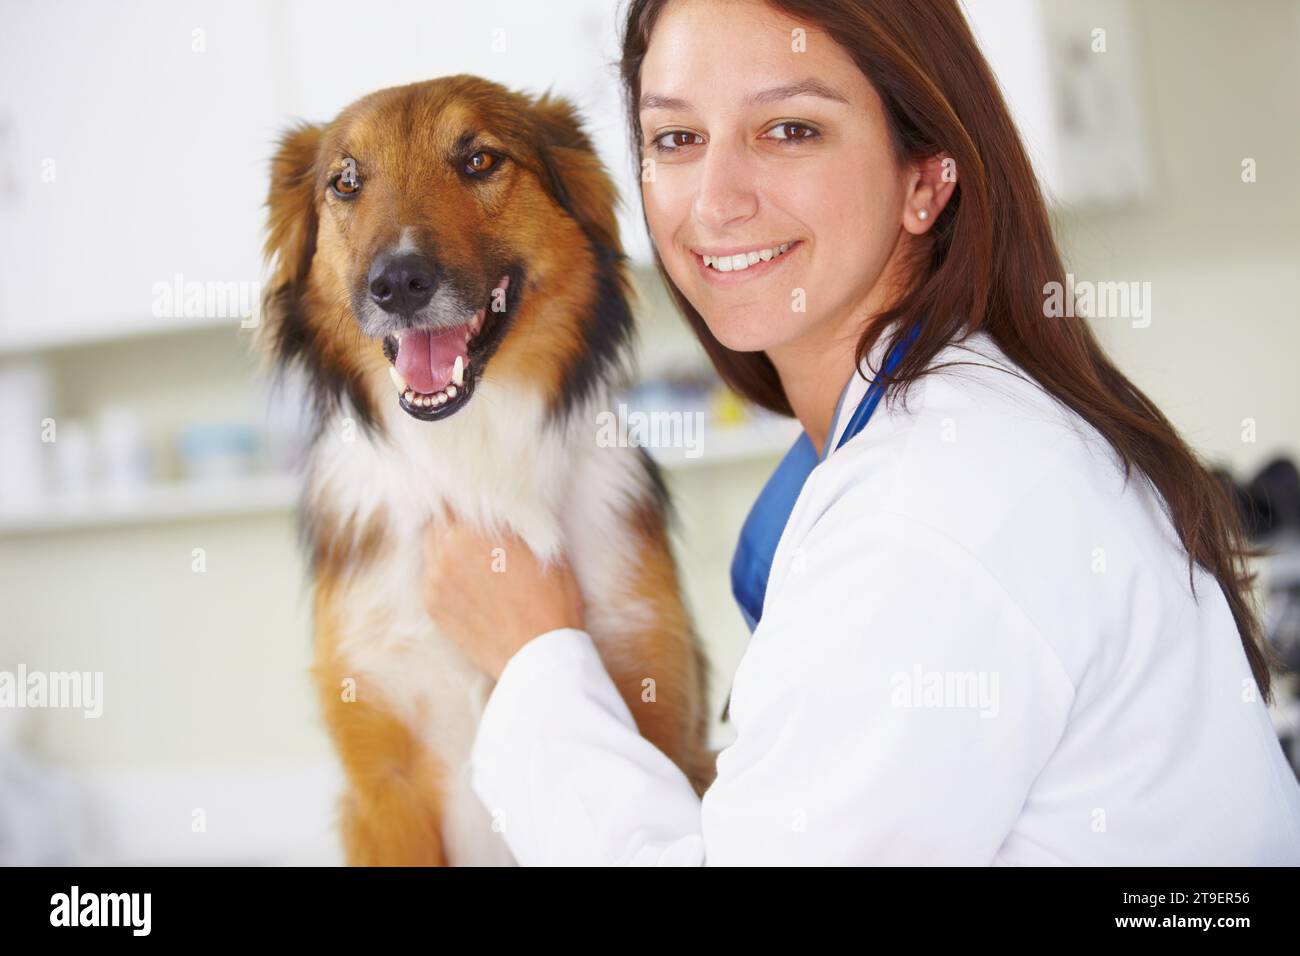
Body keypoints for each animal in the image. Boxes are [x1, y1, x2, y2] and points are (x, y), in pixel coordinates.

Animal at [257, 76, 717, 868]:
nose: (397, 283)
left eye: (479, 160)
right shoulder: (383, 787)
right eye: (345, 182)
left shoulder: (659, 712)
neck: (469, 454)